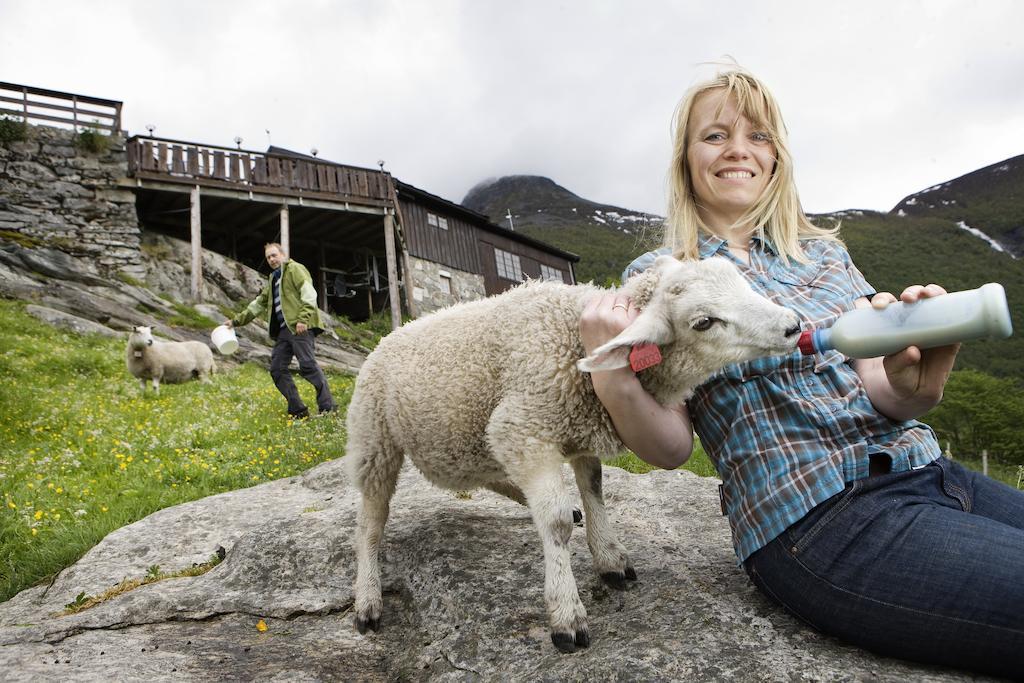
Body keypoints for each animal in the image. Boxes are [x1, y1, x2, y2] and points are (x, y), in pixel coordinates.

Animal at [348, 254, 802, 651]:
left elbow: (594, 486)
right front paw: (566, 613)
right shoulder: (520, 427)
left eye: (740, 280)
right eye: (704, 322)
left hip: (464, 440)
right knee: (370, 522)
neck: (574, 339)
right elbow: (556, 522)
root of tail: (392, 334)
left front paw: (608, 555)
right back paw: (367, 597)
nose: (793, 326)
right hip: (375, 438)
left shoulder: (578, 428)